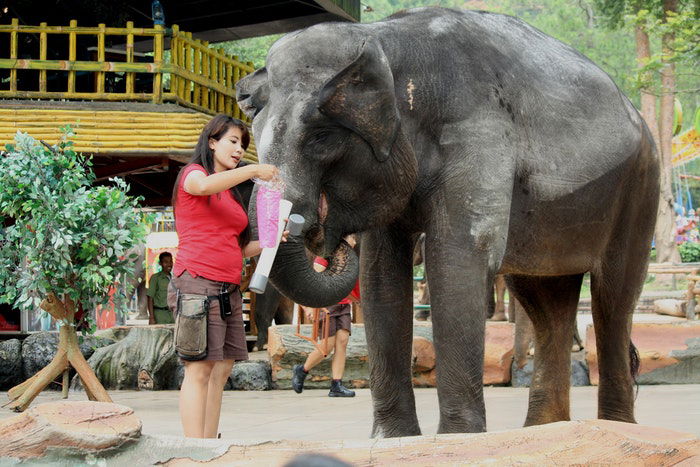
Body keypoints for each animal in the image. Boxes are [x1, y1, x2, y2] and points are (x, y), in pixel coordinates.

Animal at [238, 7, 660, 438]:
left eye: (321, 138)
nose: (323, 238)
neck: (383, 40)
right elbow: (380, 276)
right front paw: (393, 439)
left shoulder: (477, 131)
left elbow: (455, 261)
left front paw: (458, 437)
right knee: (545, 302)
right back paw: (544, 432)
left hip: (641, 187)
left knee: (613, 300)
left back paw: (616, 428)